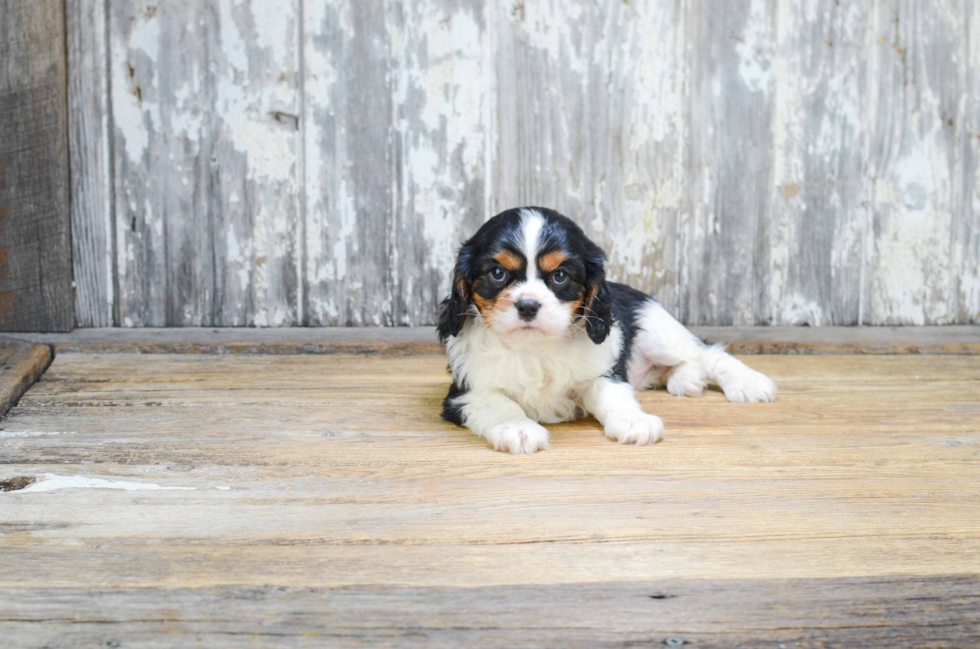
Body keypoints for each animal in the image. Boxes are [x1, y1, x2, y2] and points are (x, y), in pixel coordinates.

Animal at [436, 206, 772, 450]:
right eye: (497, 273)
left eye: (560, 276)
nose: (528, 306)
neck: (535, 346)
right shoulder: (466, 392)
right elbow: (498, 403)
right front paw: (518, 428)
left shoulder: (602, 372)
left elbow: (613, 396)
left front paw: (634, 422)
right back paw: (686, 380)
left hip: (657, 332)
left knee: (706, 353)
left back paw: (748, 382)